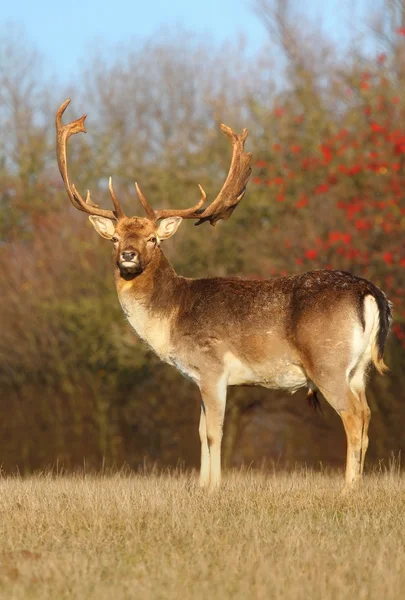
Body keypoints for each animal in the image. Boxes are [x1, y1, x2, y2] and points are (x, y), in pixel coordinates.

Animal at [55, 99, 390, 488]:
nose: (128, 256)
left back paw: (347, 488)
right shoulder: (199, 376)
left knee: (353, 417)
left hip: (327, 362)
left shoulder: (212, 366)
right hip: (359, 369)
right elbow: (201, 432)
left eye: (153, 238)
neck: (172, 318)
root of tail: (369, 291)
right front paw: (202, 486)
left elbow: (215, 432)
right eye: (114, 238)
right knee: (366, 415)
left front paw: (215, 486)